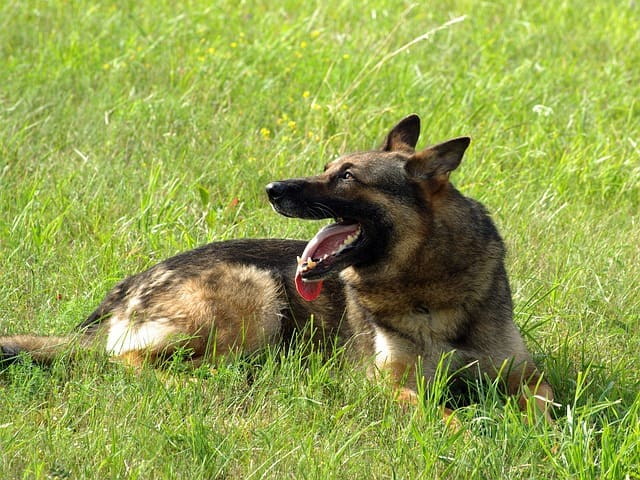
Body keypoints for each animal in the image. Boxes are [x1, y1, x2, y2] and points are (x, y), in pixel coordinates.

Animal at [0, 116, 552, 420]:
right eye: (328, 168)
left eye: (346, 177)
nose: (271, 188)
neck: (426, 287)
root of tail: (129, 286)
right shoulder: (390, 384)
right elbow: (438, 414)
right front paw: (469, 432)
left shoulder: (523, 375)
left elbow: (549, 407)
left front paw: (544, 436)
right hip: (255, 296)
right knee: (130, 361)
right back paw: (201, 385)